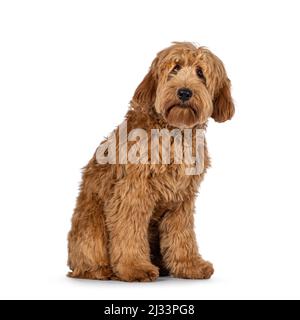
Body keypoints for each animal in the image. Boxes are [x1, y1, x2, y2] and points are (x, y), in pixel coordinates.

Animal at [67, 41, 234, 282]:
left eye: (200, 73)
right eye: (175, 68)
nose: (184, 92)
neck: (173, 132)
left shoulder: (182, 200)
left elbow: (182, 235)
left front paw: (189, 265)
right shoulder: (132, 193)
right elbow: (129, 232)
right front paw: (134, 268)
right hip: (92, 223)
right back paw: (101, 270)